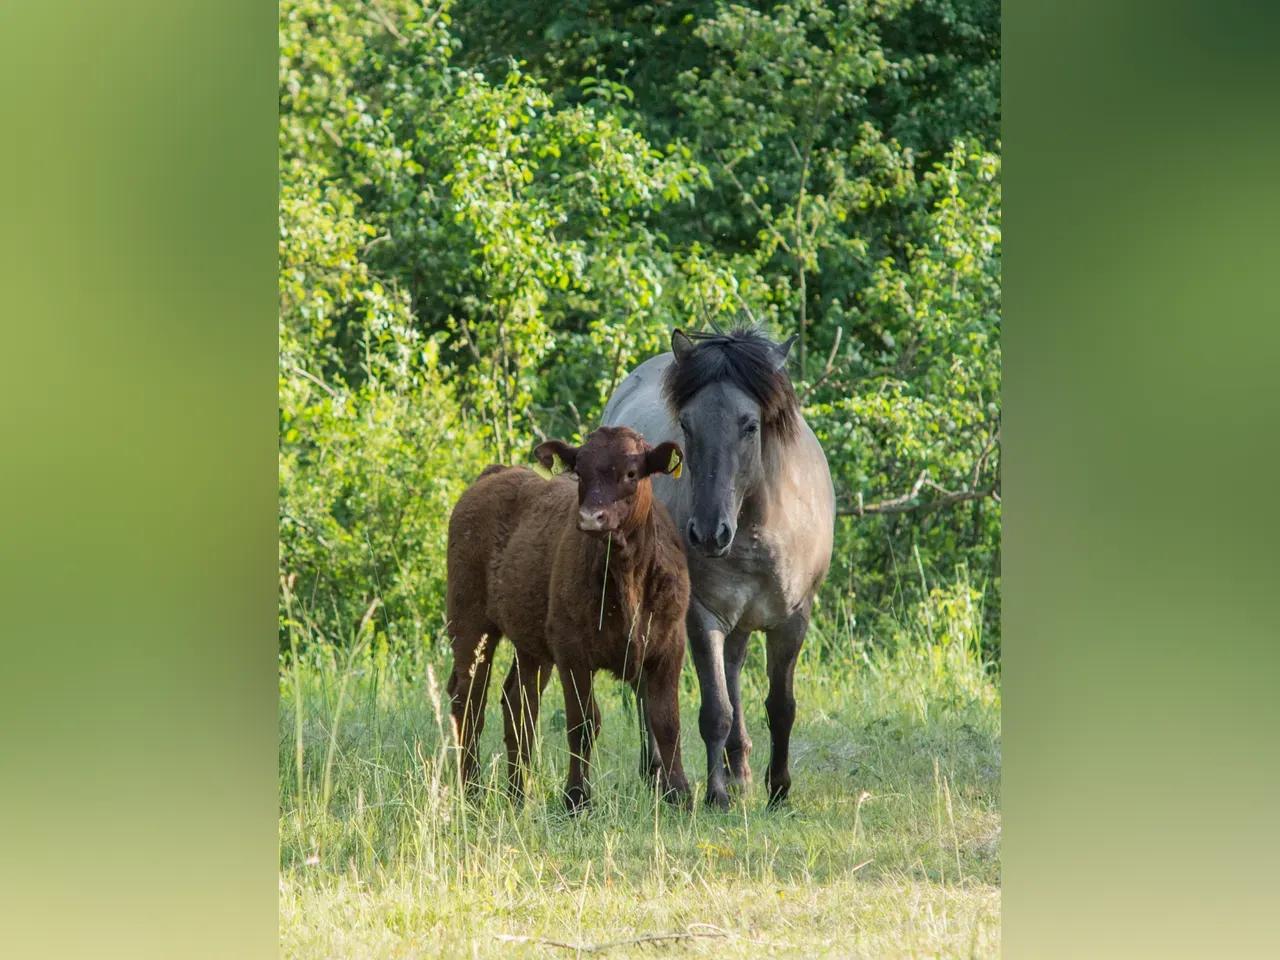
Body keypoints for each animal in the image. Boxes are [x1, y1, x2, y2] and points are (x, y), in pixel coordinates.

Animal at [603, 327, 834, 807]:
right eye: (687, 425)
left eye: (750, 425)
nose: (709, 533)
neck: (757, 528)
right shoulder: (701, 615)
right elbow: (715, 710)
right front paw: (716, 796)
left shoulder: (793, 620)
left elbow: (781, 706)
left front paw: (778, 789)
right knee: (648, 683)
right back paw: (658, 774)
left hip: (741, 621)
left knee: (733, 667)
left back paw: (739, 770)